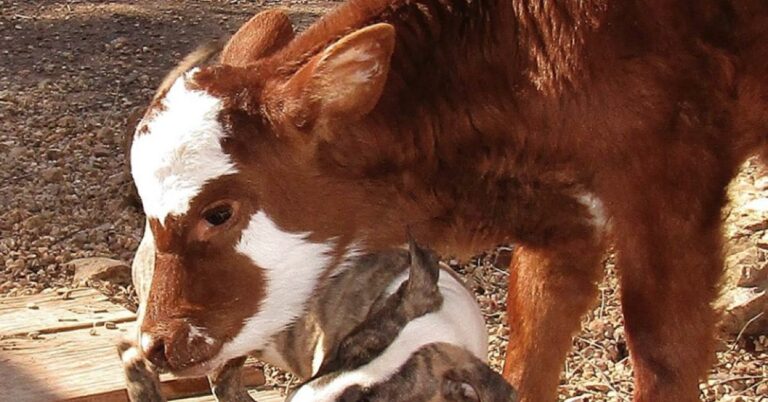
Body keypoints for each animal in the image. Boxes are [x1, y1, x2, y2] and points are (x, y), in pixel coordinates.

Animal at [128, 1, 768, 401]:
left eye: (218, 213)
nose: (156, 344)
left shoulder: (671, 182)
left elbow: (664, 351)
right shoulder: (564, 219)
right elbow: (533, 340)